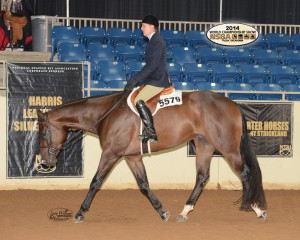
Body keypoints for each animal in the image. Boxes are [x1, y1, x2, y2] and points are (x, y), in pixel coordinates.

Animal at [36, 89, 266, 221]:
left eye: (43, 132)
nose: (45, 162)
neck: (106, 113)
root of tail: (232, 103)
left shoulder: (111, 152)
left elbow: (96, 181)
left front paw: (80, 212)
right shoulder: (131, 156)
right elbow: (144, 184)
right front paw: (162, 211)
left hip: (227, 147)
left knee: (245, 173)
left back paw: (255, 208)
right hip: (204, 145)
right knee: (202, 177)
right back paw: (185, 211)